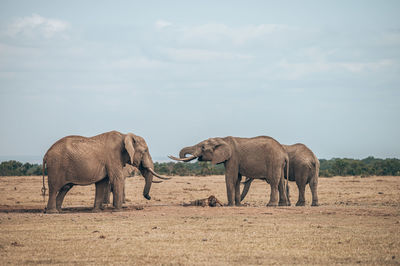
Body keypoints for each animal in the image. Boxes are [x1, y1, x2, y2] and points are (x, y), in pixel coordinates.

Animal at [41, 130, 170, 213]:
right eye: (145, 151)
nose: (149, 197)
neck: (125, 135)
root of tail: (46, 154)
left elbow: (102, 183)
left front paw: (96, 211)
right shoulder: (113, 157)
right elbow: (117, 179)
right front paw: (118, 210)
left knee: (65, 188)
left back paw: (59, 211)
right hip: (56, 166)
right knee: (54, 187)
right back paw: (53, 212)